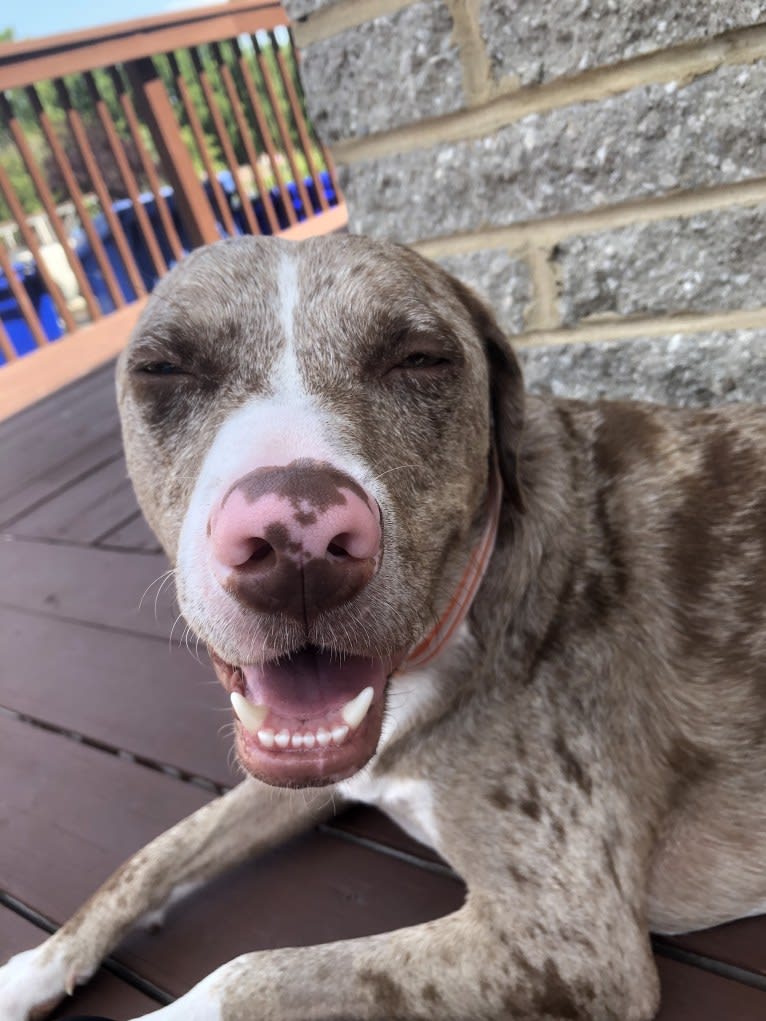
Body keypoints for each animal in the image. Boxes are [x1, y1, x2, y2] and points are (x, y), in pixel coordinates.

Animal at [1, 233, 766, 1021]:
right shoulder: (308, 771)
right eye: (163, 368)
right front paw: (36, 965)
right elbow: (154, 853)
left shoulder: (569, 939)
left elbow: (246, 974)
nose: (295, 539)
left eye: (421, 358)